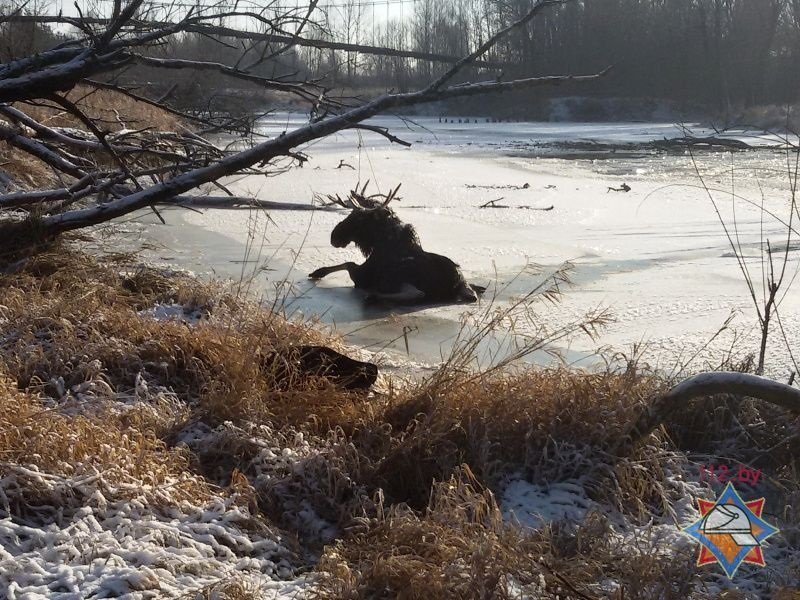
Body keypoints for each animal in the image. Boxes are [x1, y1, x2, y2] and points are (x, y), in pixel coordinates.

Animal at [310, 184, 484, 304]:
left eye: (359, 217)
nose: (334, 236)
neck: (379, 242)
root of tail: (451, 281)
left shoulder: (363, 275)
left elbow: (348, 264)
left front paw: (318, 271)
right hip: (460, 279)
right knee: (471, 294)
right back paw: (478, 287)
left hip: (393, 277)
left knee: (417, 293)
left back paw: (373, 297)